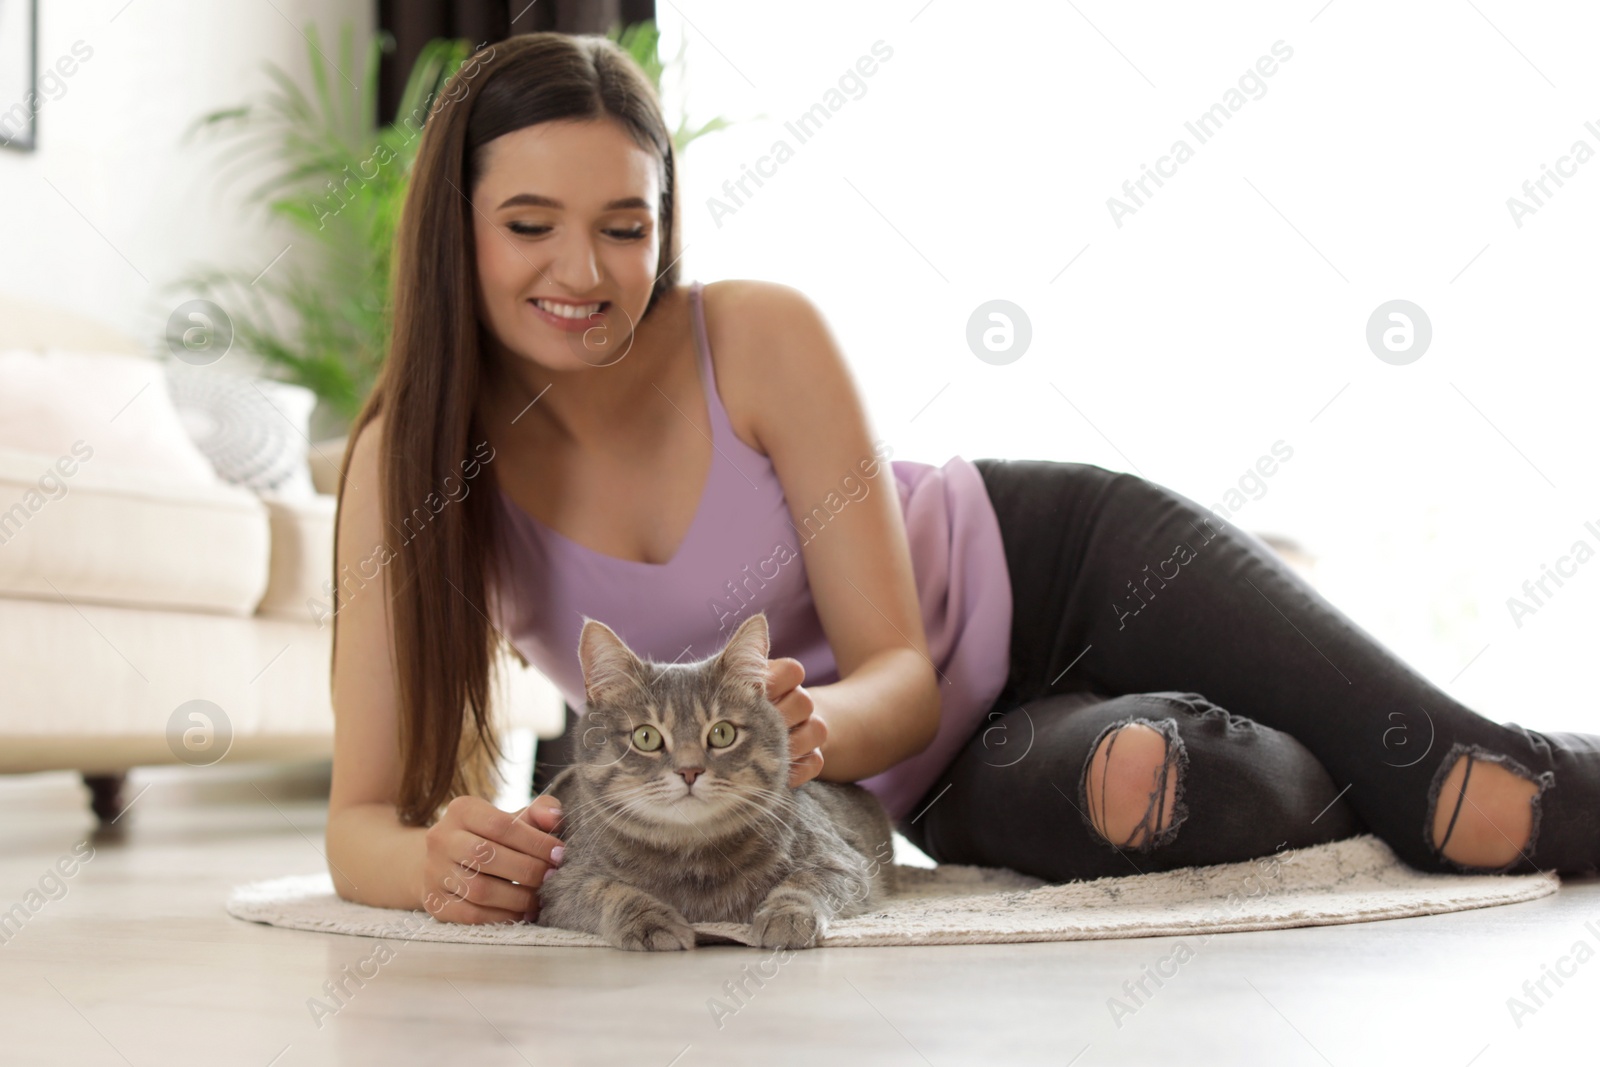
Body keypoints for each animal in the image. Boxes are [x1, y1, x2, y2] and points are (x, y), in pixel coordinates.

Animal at [534, 607, 889, 953]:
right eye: (646, 737)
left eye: (722, 733)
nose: (689, 771)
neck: (691, 854)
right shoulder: (559, 885)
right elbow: (607, 890)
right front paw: (649, 920)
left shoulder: (843, 863)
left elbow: (804, 882)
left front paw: (786, 914)